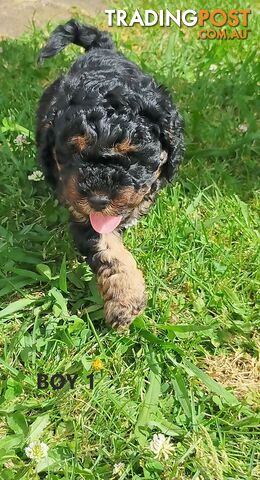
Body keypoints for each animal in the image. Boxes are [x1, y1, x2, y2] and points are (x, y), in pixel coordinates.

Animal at [36, 20, 184, 332]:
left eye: (133, 155)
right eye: (73, 153)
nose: (98, 200)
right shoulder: (83, 214)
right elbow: (108, 248)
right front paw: (125, 301)